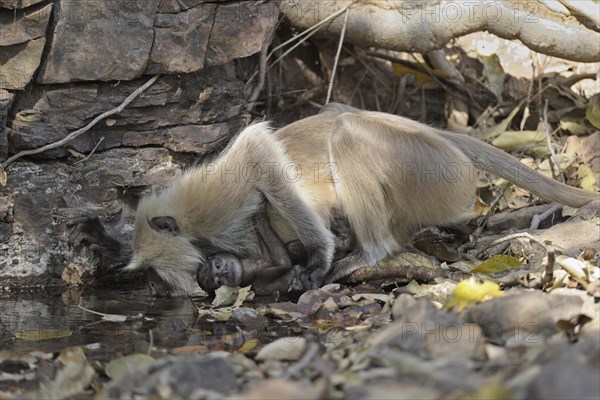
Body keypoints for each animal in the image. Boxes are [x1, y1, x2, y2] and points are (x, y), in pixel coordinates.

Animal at [199, 208, 354, 296]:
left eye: (218, 265)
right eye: (219, 281)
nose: (225, 271)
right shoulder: (252, 274)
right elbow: (283, 263)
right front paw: (260, 217)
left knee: (293, 247)